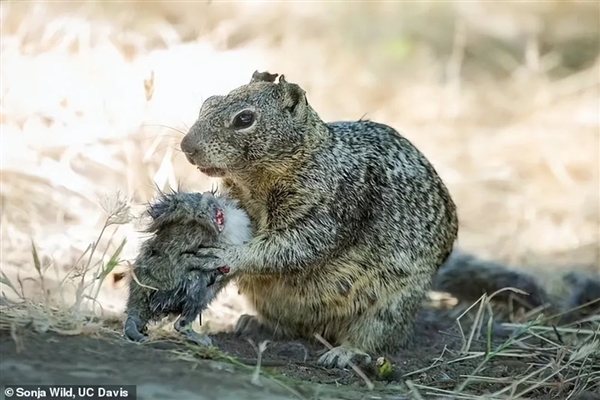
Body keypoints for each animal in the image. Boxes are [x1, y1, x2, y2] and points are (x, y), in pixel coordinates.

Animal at [179, 70, 460, 368]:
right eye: (208, 103)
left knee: (375, 336)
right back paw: (254, 324)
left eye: (245, 119)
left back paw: (344, 352)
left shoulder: (328, 212)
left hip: (391, 305)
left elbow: (290, 248)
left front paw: (227, 255)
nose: (186, 146)